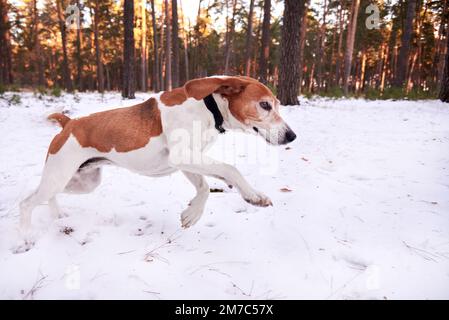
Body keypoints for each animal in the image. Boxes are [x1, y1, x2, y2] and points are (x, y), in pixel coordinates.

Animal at [19, 76, 296, 234]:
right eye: (264, 105)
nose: (292, 136)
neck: (210, 108)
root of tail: (69, 123)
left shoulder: (188, 160)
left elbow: (204, 187)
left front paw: (193, 213)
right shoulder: (182, 155)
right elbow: (230, 169)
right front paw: (253, 195)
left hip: (81, 181)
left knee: (43, 196)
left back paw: (57, 216)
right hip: (61, 176)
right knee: (26, 203)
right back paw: (25, 237)